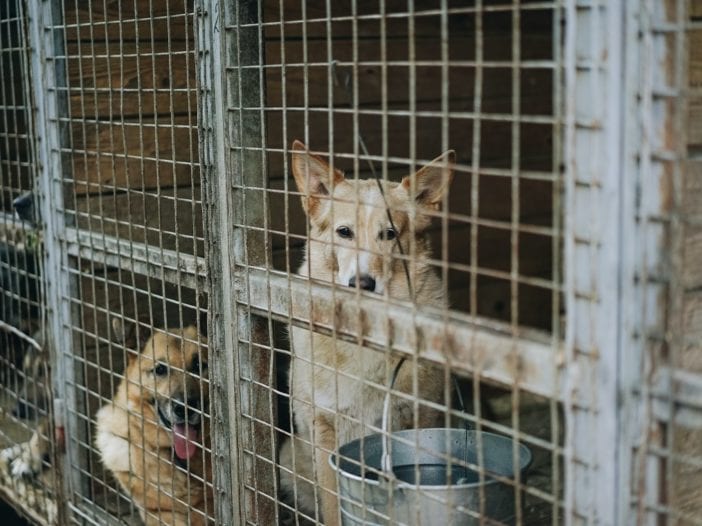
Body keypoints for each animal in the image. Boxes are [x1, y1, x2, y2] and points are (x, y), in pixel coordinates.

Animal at [280, 141, 456, 526]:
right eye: (344, 232)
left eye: (389, 234)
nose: (362, 283)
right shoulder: (323, 428)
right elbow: (333, 506)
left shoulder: (419, 419)